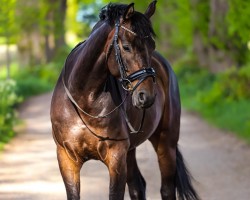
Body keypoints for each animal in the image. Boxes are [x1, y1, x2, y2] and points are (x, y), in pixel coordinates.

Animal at [50, 0, 199, 199]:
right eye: (127, 46)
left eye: (152, 46)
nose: (147, 96)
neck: (84, 99)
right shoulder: (66, 158)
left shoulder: (116, 157)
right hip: (131, 150)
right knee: (138, 186)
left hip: (166, 143)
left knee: (167, 189)